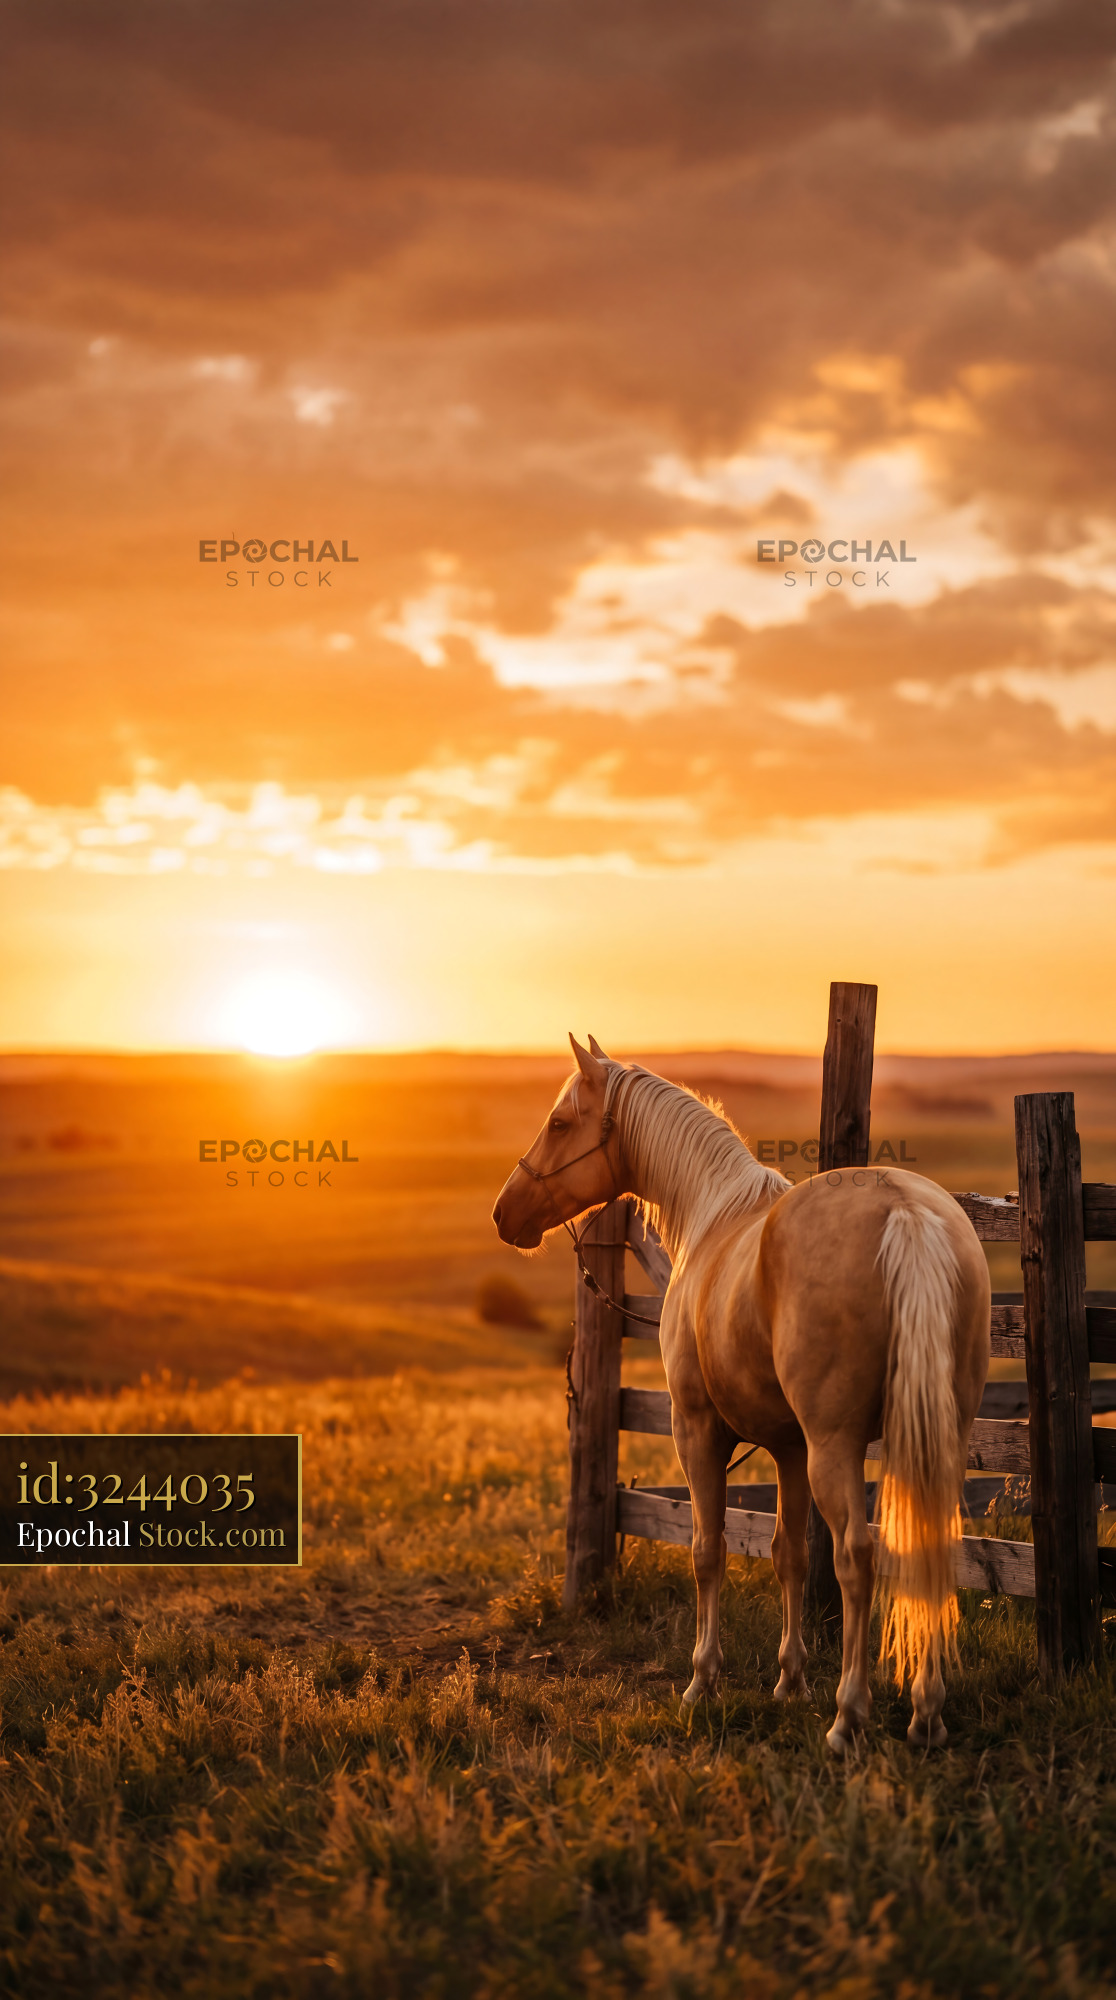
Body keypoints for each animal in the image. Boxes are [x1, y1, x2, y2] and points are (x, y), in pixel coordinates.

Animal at [492, 1035, 990, 1752]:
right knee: (926, 1545)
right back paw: (926, 1712)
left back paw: (849, 1715)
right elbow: (788, 1554)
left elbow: (709, 1550)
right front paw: (789, 1681)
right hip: (932, 1435)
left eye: (560, 1123)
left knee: (857, 1556)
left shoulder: (698, 1430)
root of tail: (907, 1212)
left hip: (836, 1444)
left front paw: (702, 1681)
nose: (505, 1212)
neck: (713, 1215)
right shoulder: (788, 1448)